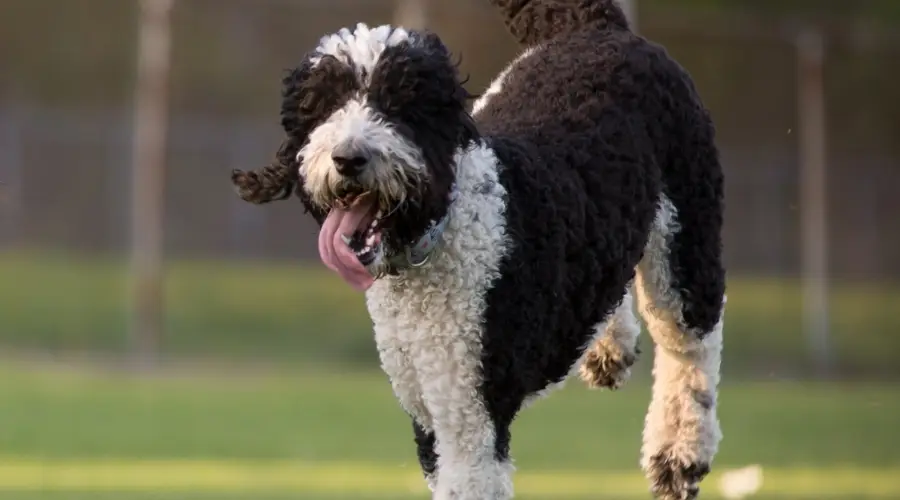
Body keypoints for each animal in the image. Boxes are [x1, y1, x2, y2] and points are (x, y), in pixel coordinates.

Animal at [230, 1, 724, 498]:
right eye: (322, 106)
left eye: (398, 105)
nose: (348, 157)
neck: (439, 233)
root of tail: (599, 26)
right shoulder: (425, 410)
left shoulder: (469, 416)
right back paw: (609, 347)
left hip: (686, 237)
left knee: (690, 348)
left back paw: (678, 455)